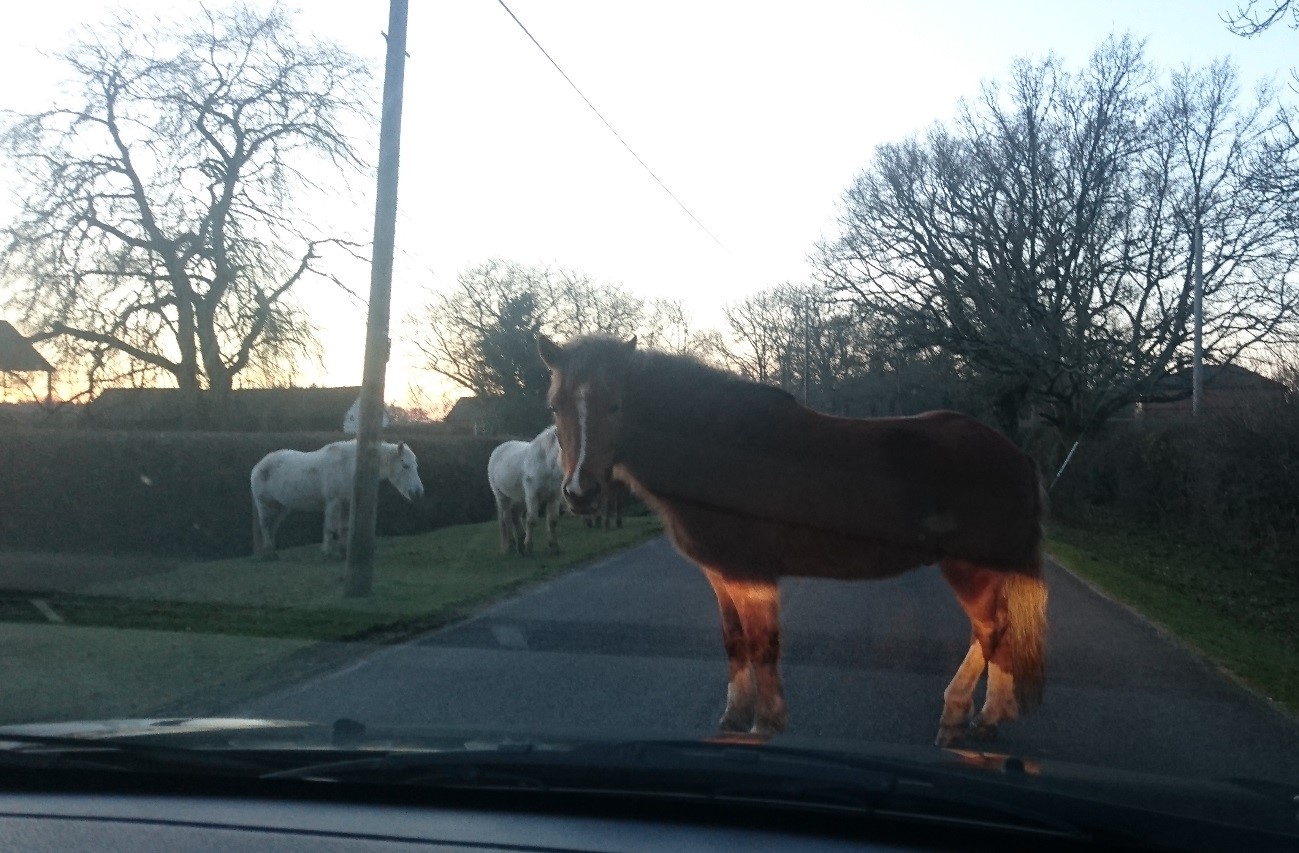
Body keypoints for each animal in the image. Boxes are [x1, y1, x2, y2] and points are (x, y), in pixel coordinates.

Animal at [248, 438, 420, 558]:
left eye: (416, 466)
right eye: (405, 466)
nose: (417, 492)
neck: (350, 466)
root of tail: (258, 466)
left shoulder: (346, 503)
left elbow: (344, 528)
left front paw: (343, 553)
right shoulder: (333, 502)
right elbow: (330, 527)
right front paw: (327, 553)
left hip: (280, 507)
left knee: (272, 527)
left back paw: (271, 551)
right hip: (265, 504)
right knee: (265, 526)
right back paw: (270, 553)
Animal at [488, 423, 563, 555]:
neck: (546, 465)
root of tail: (498, 450)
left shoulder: (555, 497)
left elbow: (553, 521)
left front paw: (554, 546)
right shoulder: (532, 496)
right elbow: (531, 521)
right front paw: (529, 547)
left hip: (519, 498)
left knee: (515, 516)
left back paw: (520, 543)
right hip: (502, 496)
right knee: (506, 518)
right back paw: (512, 545)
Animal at [535, 332, 1044, 747]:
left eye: (616, 405)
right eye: (555, 407)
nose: (580, 492)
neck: (716, 449)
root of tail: (1017, 456)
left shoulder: (752, 574)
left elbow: (763, 644)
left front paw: (766, 723)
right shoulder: (721, 574)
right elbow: (734, 641)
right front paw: (733, 718)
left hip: (969, 566)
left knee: (991, 629)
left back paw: (956, 717)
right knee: (998, 632)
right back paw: (988, 717)